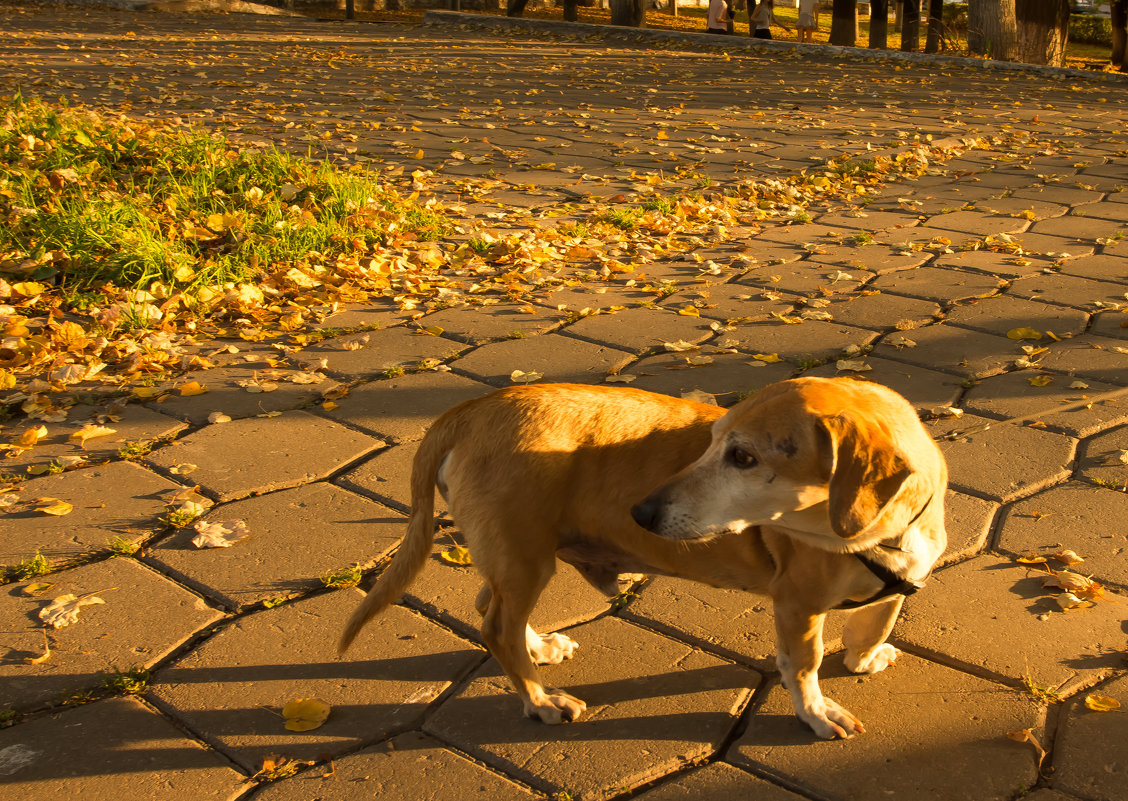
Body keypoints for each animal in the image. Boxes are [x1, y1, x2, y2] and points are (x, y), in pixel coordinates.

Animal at [338, 379, 947, 744]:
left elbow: (876, 620)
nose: (641, 512)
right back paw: (540, 701)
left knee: (491, 606)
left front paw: (865, 656)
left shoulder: (896, 585)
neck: (879, 538)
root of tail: (468, 411)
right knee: (496, 629)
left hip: (517, 558)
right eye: (712, 443)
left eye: (742, 456)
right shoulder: (797, 605)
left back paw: (538, 648)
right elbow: (803, 666)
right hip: (525, 559)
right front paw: (817, 713)